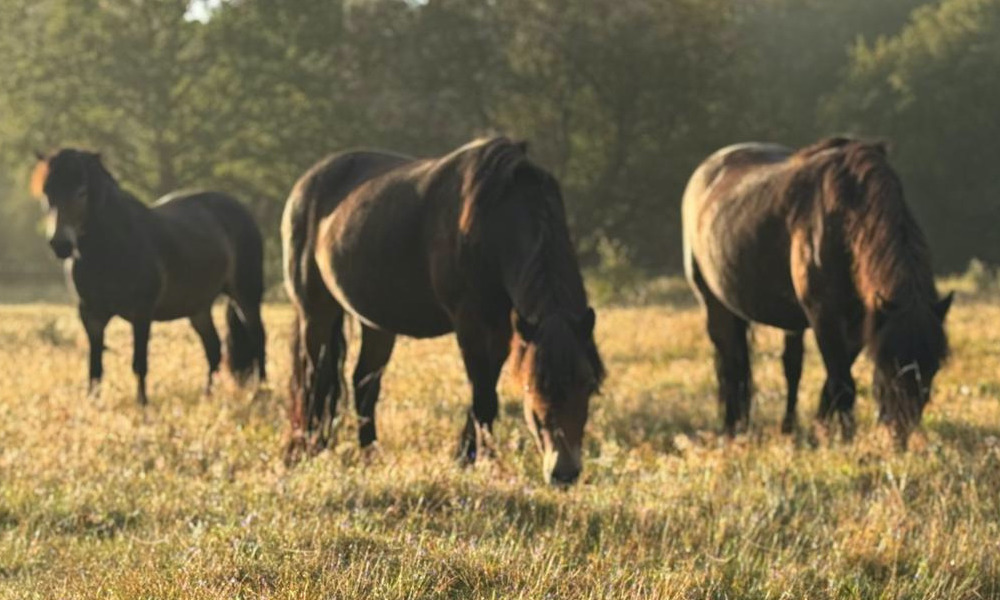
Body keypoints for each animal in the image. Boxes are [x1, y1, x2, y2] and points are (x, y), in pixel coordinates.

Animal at [30, 149, 267, 405]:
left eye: (81, 191)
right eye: (47, 191)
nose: (60, 245)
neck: (111, 248)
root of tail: (240, 210)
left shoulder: (141, 313)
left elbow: (139, 363)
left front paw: (143, 406)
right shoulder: (90, 315)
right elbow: (95, 368)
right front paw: (92, 405)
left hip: (246, 294)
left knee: (258, 337)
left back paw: (262, 391)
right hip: (198, 308)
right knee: (213, 349)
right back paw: (207, 397)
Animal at [282, 137, 604, 485]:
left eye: (587, 384)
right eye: (532, 385)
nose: (564, 471)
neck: (498, 221)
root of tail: (304, 184)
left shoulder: (503, 328)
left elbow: (484, 393)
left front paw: (469, 455)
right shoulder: (471, 323)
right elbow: (483, 397)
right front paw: (480, 461)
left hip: (377, 323)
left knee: (363, 384)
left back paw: (369, 455)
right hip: (315, 311)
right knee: (316, 380)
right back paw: (310, 450)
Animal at [682, 137, 952, 446]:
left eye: (934, 366)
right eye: (888, 363)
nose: (900, 432)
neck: (846, 215)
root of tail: (705, 171)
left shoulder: (861, 325)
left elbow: (831, 383)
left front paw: (819, 430)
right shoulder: (825, 317)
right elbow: (842, 383)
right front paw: (846, 439)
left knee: (790, 368)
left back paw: (786, 428)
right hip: (715, 305)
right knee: (732, 366)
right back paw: (733, 429)